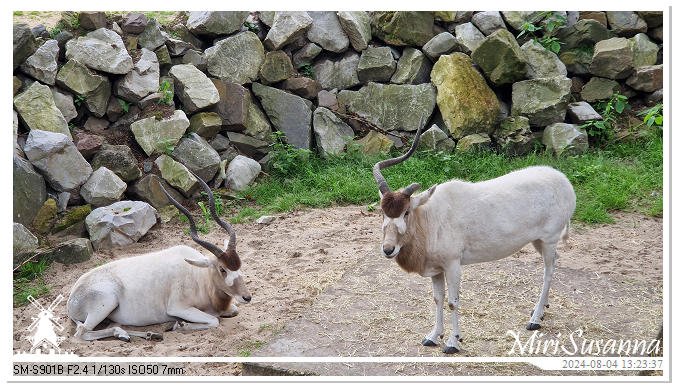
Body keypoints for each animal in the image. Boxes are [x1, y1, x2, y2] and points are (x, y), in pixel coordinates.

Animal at [65, 173, 252, 340]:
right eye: (222, 269)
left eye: (239, 265)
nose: (247, 297)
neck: (199, 276)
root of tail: (72, 297)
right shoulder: (177, 308)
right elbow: (214, 320)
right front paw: (179, 325)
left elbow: (233, 311)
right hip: (107, 302)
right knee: (82, 332)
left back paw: (144, 334)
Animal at [374, 114, 576, 352]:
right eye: (382, 212)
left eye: (406, 212)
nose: (388, 249)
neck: (430, 218)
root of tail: (564, 181)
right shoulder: (436, 269)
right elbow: (437, 299)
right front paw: (433, 337)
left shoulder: (453, 265)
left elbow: (452, 302)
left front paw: (453, 342)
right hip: (537, 241)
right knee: (555, 260)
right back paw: (541, 311)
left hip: (549, 239)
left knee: (549, 270)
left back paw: (535, 320)